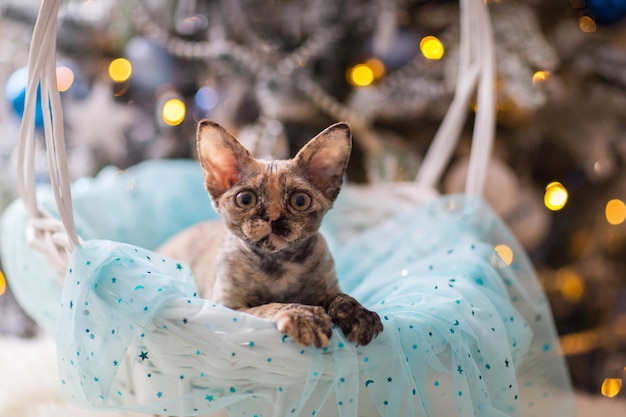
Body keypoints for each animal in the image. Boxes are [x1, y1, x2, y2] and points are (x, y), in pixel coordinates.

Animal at [156, 120, 380, 348]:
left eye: (300, 201)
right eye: (245, 199)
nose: (273, 217)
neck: (279, 263)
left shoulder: (329, 287)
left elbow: (342, 296)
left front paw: (358, 313)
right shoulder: (228, 308)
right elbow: (269, 305)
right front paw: (303, 315)